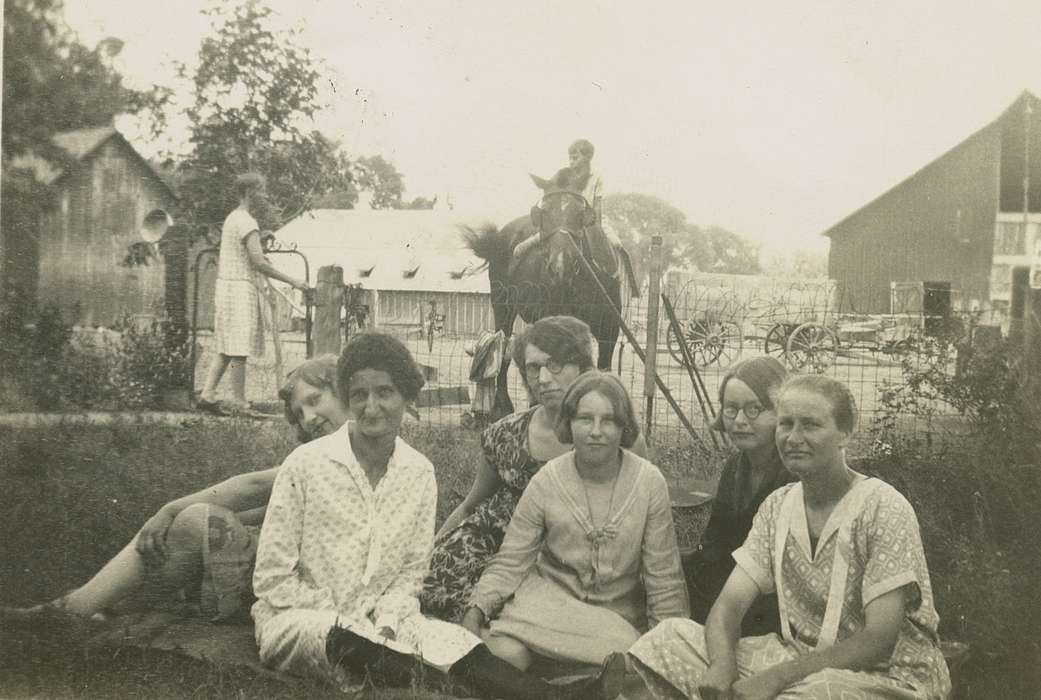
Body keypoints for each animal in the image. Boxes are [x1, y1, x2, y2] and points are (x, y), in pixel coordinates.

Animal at [462, 183, 632, 418]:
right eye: (544, 215)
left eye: (579, 215)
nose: (559, 267)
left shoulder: (609, 330)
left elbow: (601, 367)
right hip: (502, 306)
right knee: (503, 348)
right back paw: (502, 405)